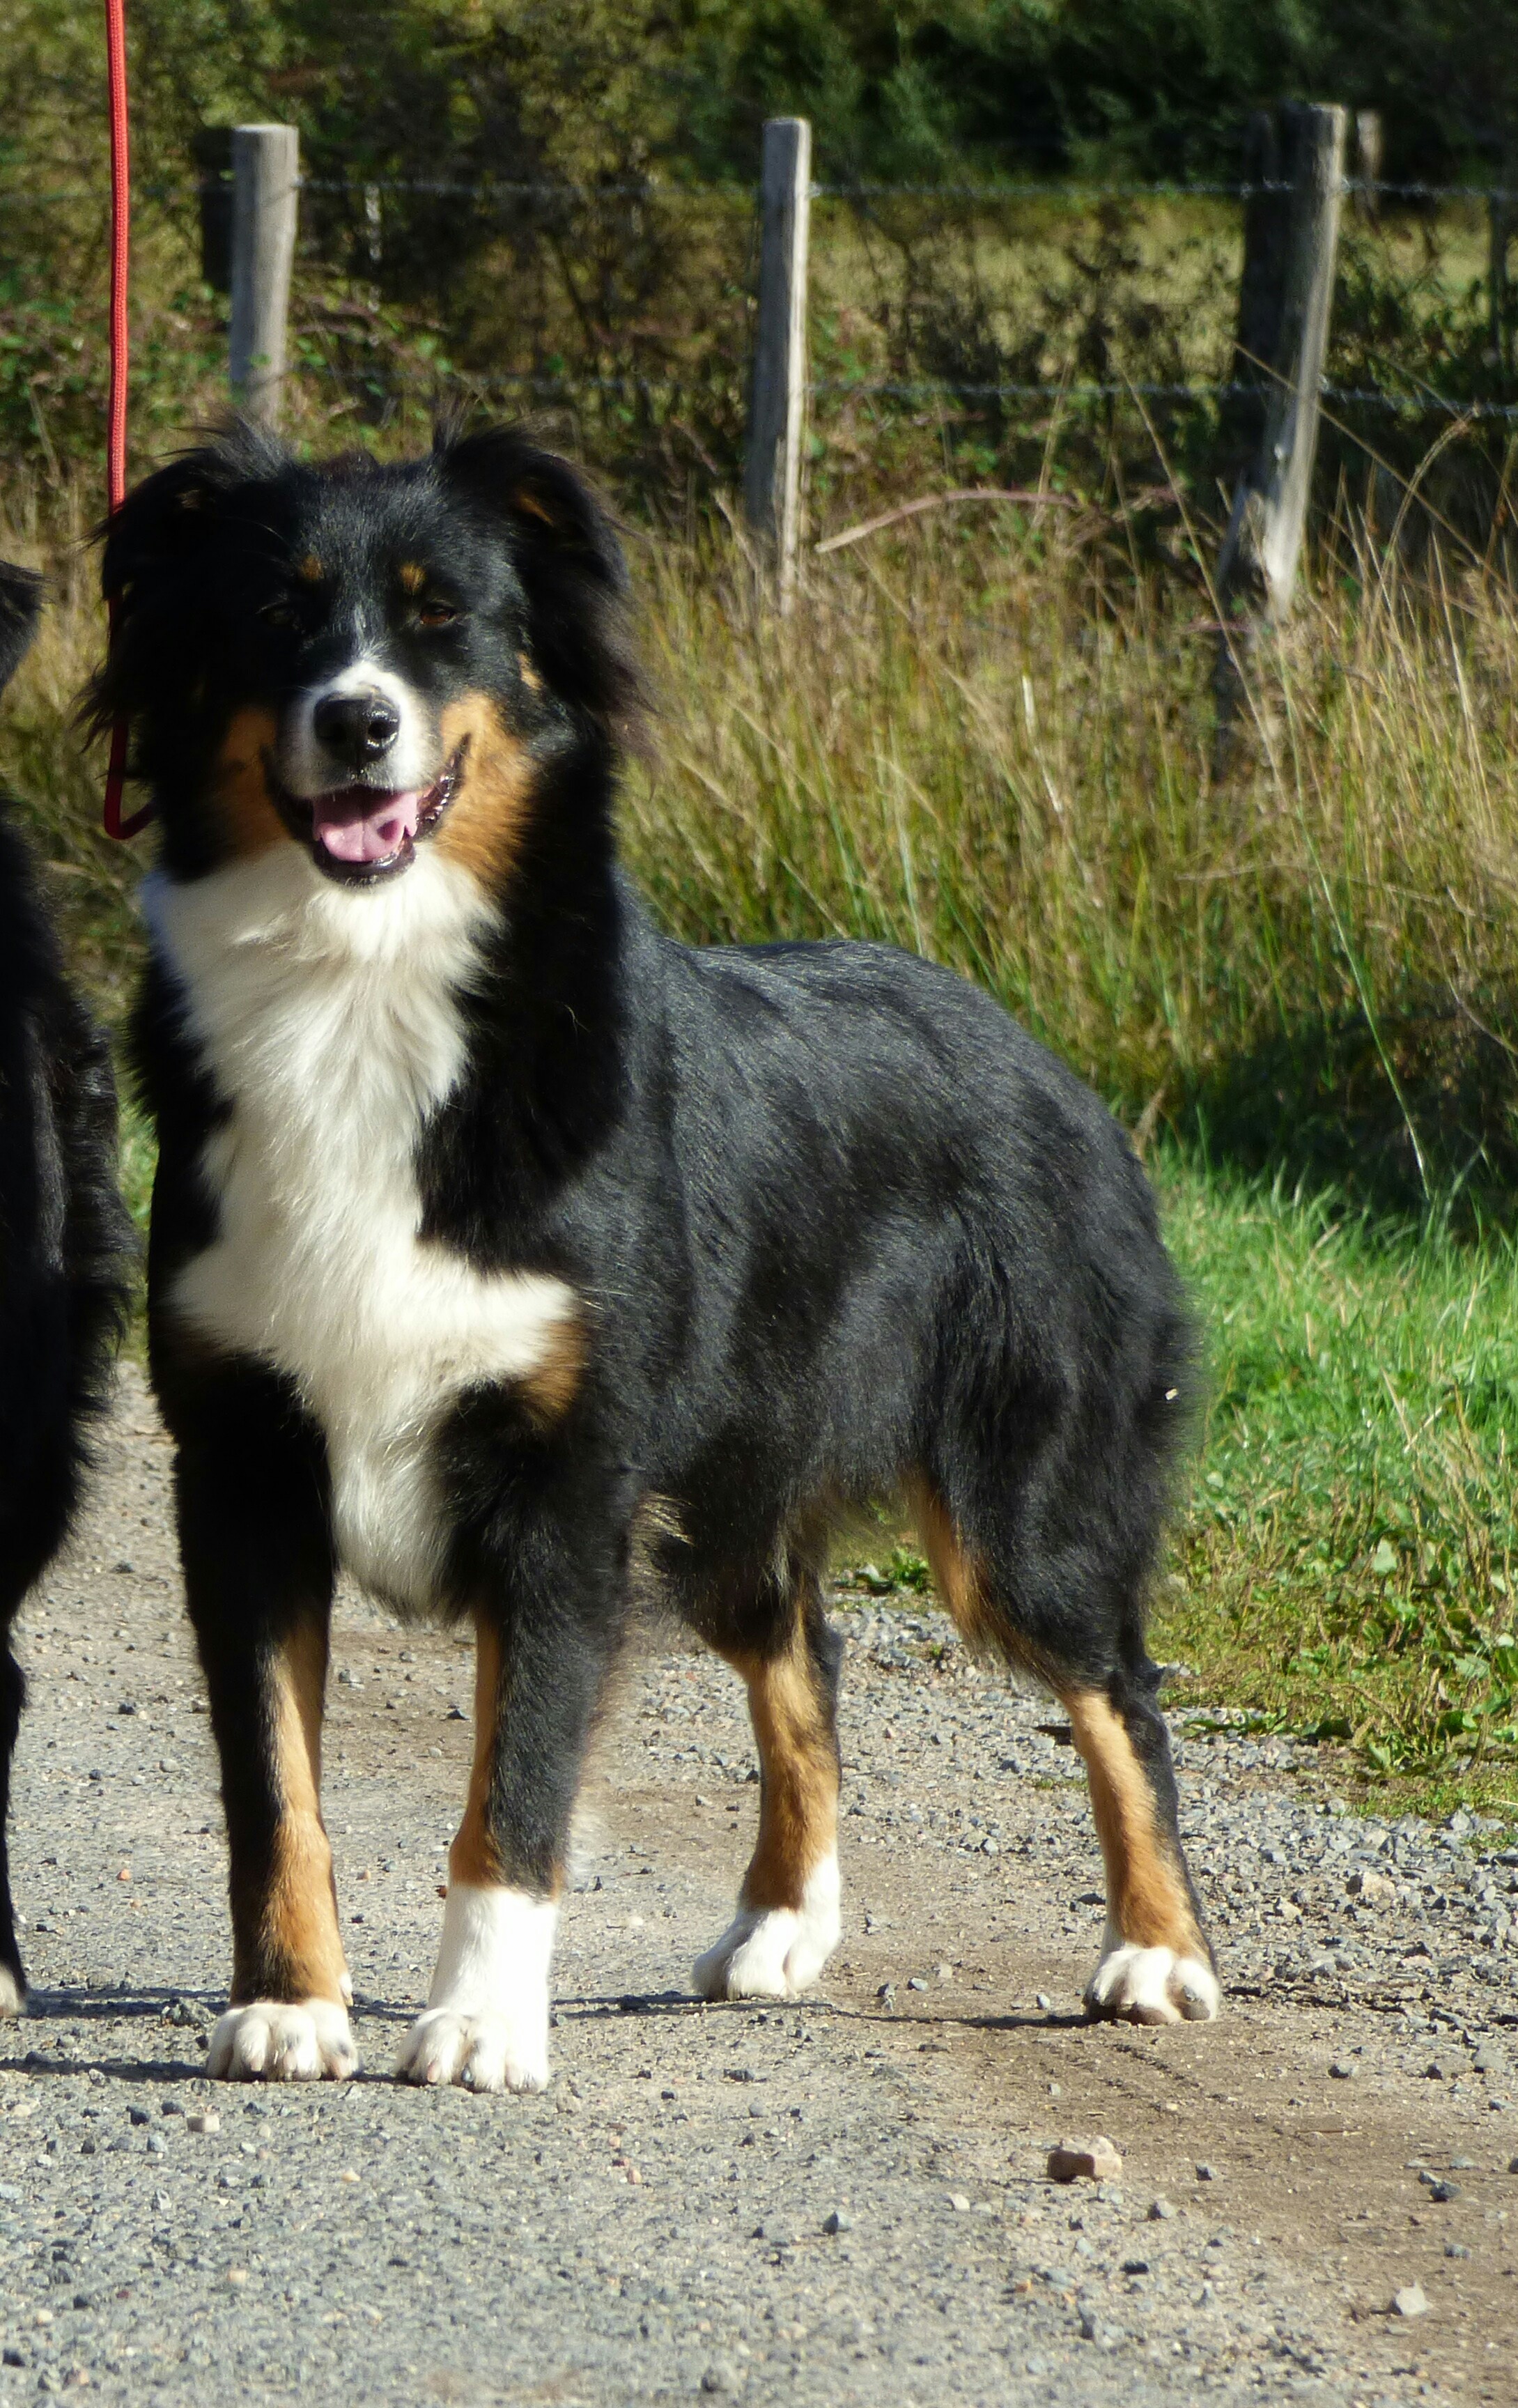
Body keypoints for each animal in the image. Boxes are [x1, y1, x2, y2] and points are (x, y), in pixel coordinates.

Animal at [97, 419, 1217, 2090]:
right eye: (276, 616)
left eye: (444, 617)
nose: (357, 723)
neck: (363, 985)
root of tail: (1047, 1061)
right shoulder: (243, 1462)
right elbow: (271, 1783)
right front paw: (291, 2005)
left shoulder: (562, 1485)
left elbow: (518, 1782)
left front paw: (480, 2023)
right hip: (724, 1483)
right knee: (803, 1655)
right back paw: (783, 1928)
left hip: (1016, 1497)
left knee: (1116, 1693)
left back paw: (1156, 1954)